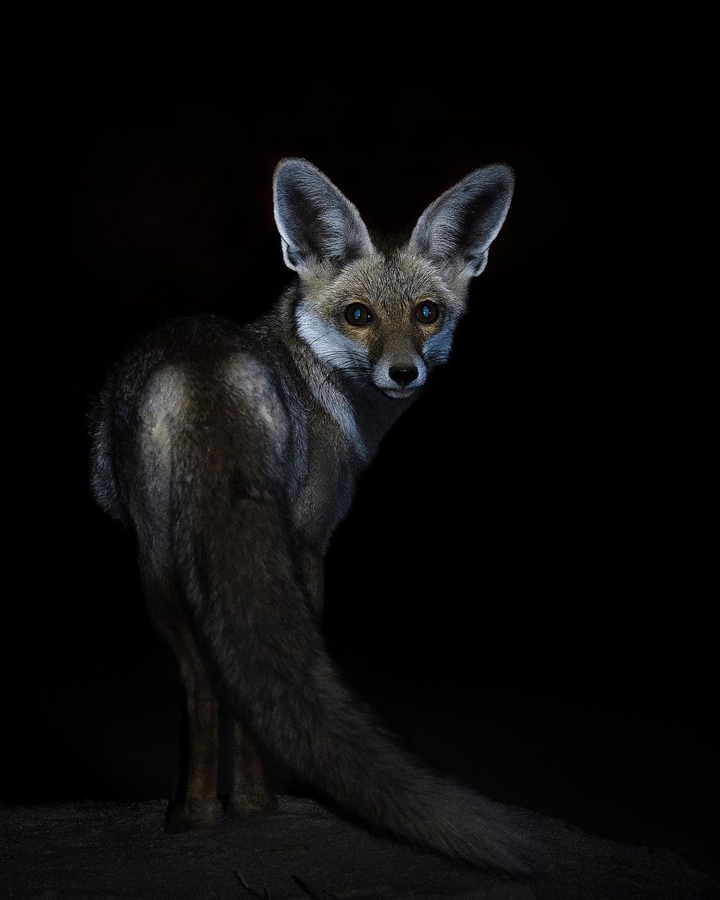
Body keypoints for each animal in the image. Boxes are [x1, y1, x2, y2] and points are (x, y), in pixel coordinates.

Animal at [90, 158, 536, 875]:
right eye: (358, 316)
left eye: (427, 313)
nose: (404, 373)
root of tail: (208, 370)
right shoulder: (311, 541)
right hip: (186, 562)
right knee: (214, 681)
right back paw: (242, 809)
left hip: (159, 556)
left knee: (207, 681)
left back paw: (206, 813)